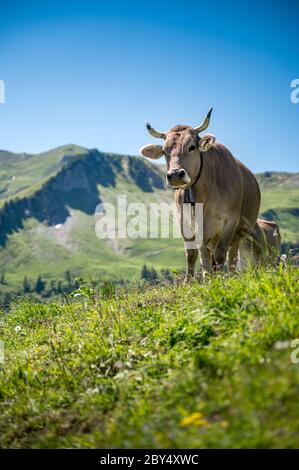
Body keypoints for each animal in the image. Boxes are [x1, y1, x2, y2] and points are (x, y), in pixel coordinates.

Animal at [141, 109, 262, 280]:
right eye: (164, 151)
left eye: (191, 147)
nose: (175, 174)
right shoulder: (185, 222)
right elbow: (193, 255)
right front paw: (193, 281)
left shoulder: (229, 222)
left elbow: (220, 255)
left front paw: (217, 281)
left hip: (239, 233)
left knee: (231, 255)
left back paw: (231, 276)